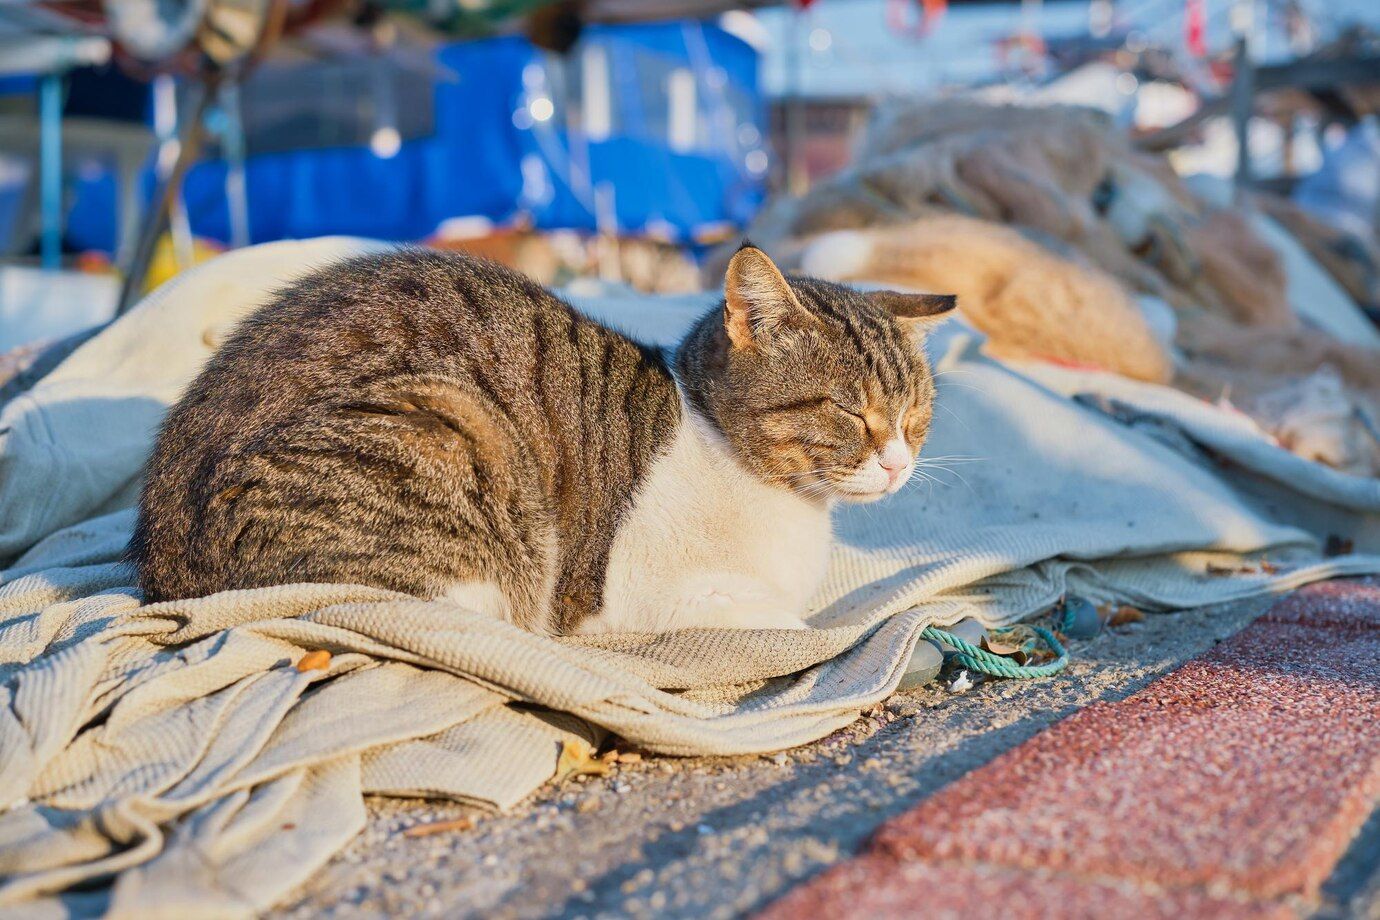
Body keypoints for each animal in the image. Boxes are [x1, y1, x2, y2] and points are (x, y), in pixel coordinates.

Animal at [129, 244, 954, 634]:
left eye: (916, 414)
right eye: (851, 412)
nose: (898, 463)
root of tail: (160, 565)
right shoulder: (644, 593)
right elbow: (791, 621)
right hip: (452, 429)